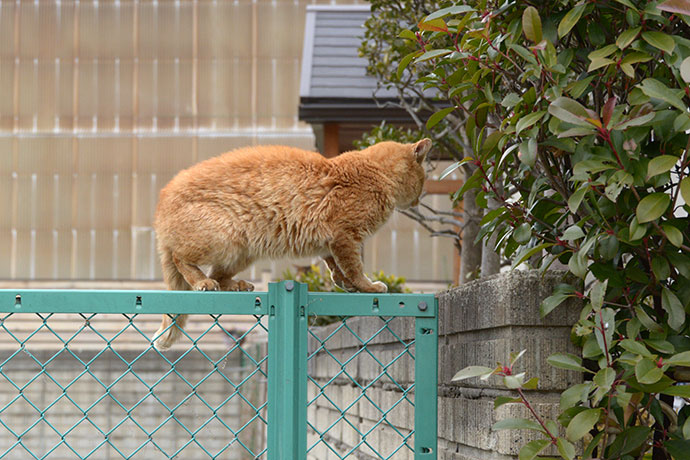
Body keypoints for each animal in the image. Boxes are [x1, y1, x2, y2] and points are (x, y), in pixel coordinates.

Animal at [153, 138, 428, 350]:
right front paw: (367, 286)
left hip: (242, 252)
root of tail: (161, 206)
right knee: (182, 260)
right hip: (226, 237)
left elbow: (336, 267)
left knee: (218, 275)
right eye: (423, 181)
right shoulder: (346, 236)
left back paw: (236, 284)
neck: (375, 173)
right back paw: (201, 282)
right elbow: (354, 268)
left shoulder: (330, 243)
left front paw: (344, 284)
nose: (419, 201)